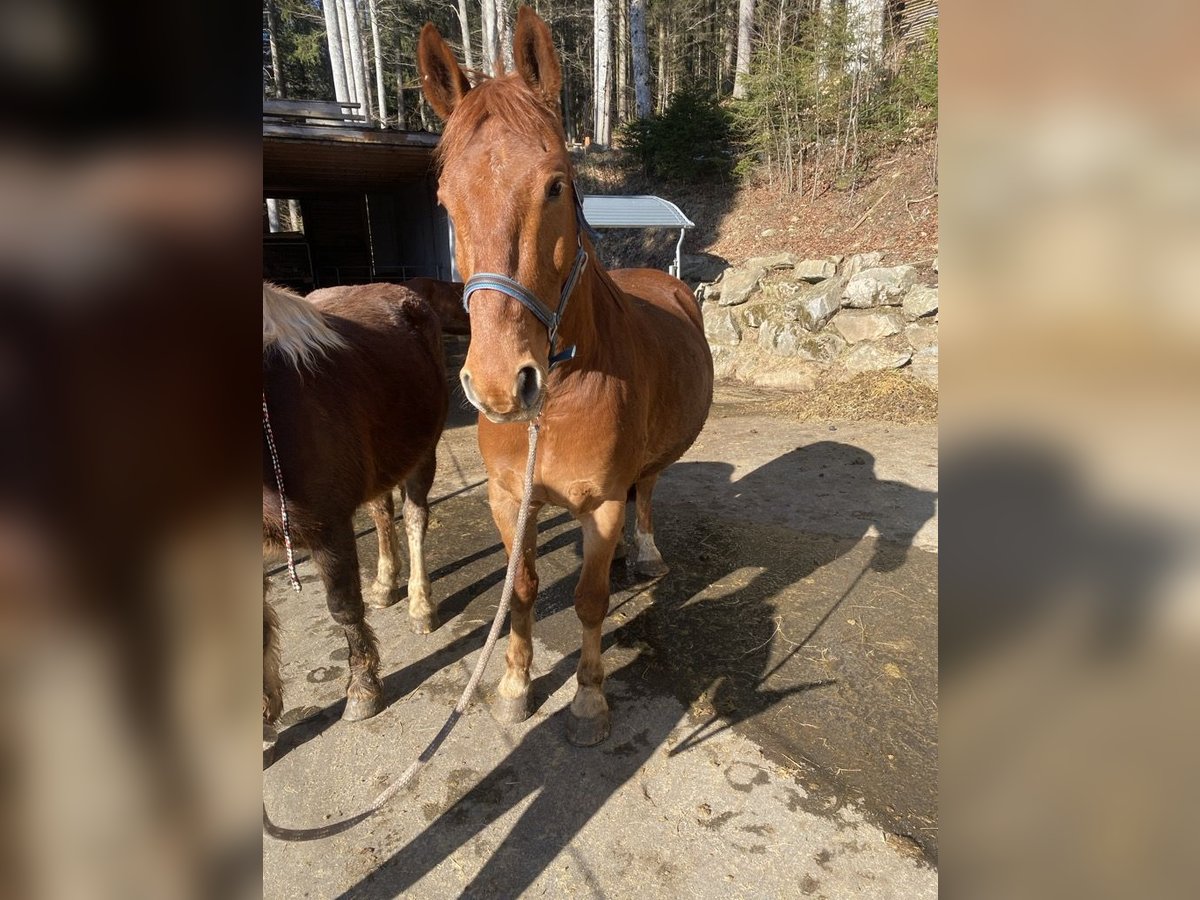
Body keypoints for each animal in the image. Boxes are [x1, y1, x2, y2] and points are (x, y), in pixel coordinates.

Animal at [265, 285, 448, 729]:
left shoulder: (327, 526)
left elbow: (344, 609)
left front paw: (363, 691)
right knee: (382, 512)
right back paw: (384, 585)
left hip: (423, 451)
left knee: (414, 518)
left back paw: (420, 606)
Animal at [417, 5, 710, 748]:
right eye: (444, 201)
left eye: (555, 185)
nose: (500, 384)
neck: (560, 396)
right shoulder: (506, 498)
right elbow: (520, 588)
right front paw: (515, 686)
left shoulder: (599, 504)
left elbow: (590, 598)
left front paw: (588, 697)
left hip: (650, 466)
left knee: (648, 492)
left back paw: (646, 553)